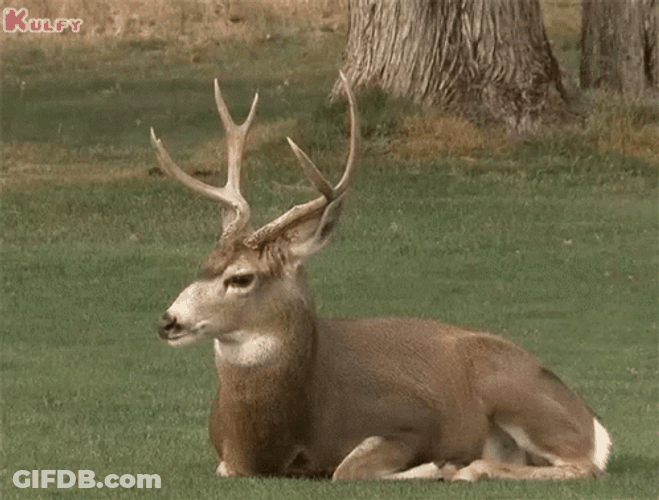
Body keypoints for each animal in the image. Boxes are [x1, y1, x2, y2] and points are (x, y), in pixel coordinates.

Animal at [150, 72, 612, 482]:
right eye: (203, 264)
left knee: (582, 465)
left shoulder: (413, 419)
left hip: (515, 392)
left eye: (241, 277)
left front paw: (440, 466)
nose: (168, 320)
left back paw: (471, 469)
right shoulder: (225, 458)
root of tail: (593, 423)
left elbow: (346, 470)